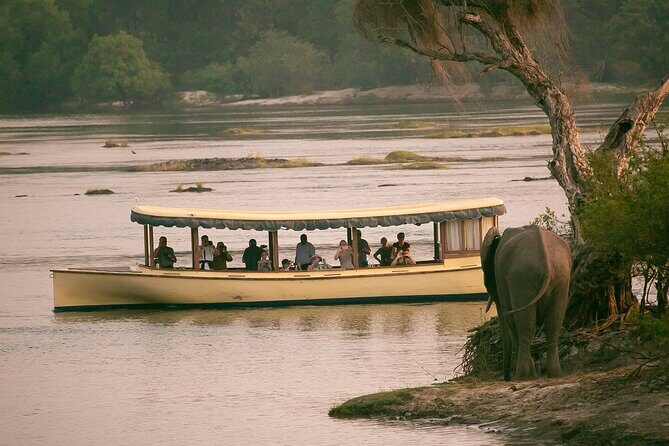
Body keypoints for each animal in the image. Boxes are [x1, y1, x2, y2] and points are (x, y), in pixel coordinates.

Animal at [480, 225, 572, 381]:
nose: (506, 378)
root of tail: (546, 263)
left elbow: (509, 319)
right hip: (561, 277)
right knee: (553, 324)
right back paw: (554, 374)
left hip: (521, 278)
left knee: (524, 325)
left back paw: (521, 376)